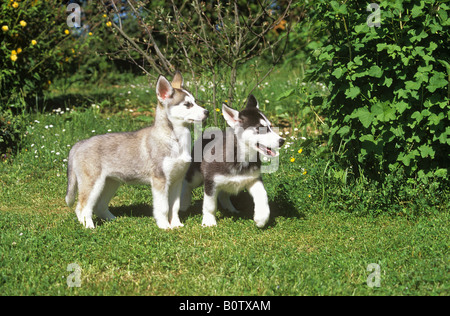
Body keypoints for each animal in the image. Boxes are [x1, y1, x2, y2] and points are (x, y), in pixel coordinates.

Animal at [65, 71, 209, 228]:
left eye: (195, 101)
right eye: (188, 105)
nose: (207, 112)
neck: (176, 140)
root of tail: (80, 143)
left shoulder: (177, 181)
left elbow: (175, 206)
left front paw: (176, 225)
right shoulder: (160, 180)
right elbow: (163, 207)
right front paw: (165, 226)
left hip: (110, 182)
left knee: (99, 206)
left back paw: (112, 219)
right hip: (92, 184)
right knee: (82, 207)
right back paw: (89, 226)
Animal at [180, 94, 284, 227]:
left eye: (270, 126)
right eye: (260, 128)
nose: (282, 141)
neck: (241, 158)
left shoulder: (253, 178)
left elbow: (263, 194)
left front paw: (262, 217)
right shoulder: (210, 180)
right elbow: (210, 205)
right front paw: (209, 222)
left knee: (223, 193)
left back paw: (230, 208)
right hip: (196, 175)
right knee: (186, 183)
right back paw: (183, 204)